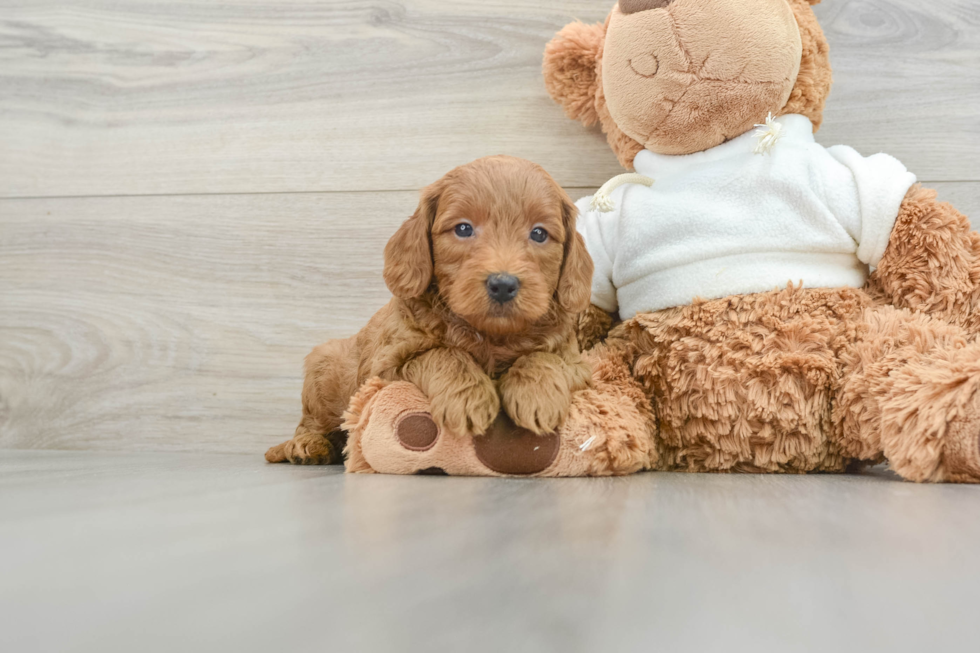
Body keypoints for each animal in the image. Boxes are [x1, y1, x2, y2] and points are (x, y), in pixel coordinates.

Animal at [264, 157, 592, 464]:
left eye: (539, 234)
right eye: (463, 228)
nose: (502, 284)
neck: (491, 335)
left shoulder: (579, 365)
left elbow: (544, 357)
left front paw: (538, 395)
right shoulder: (384, 368)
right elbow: (443, 353)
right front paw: (468, 398)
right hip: (324, 369)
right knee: (311, 423)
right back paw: (307, 446)